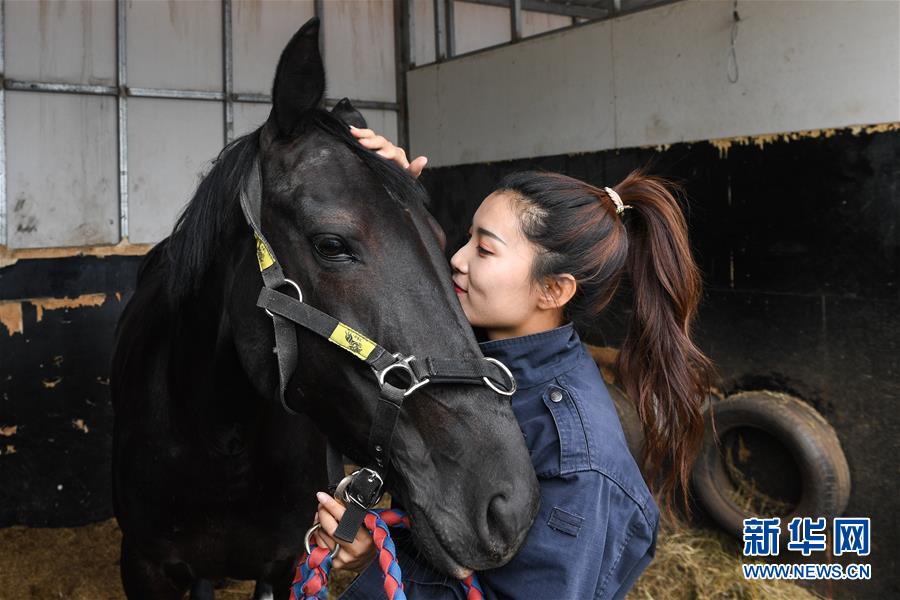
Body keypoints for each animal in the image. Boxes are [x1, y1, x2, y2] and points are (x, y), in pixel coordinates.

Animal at [109, 18, 536, 600]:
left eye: (439, 235)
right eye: (331, 244)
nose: (508, 503)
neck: (218, 443)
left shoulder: (282, 563)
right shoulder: (145, 566)